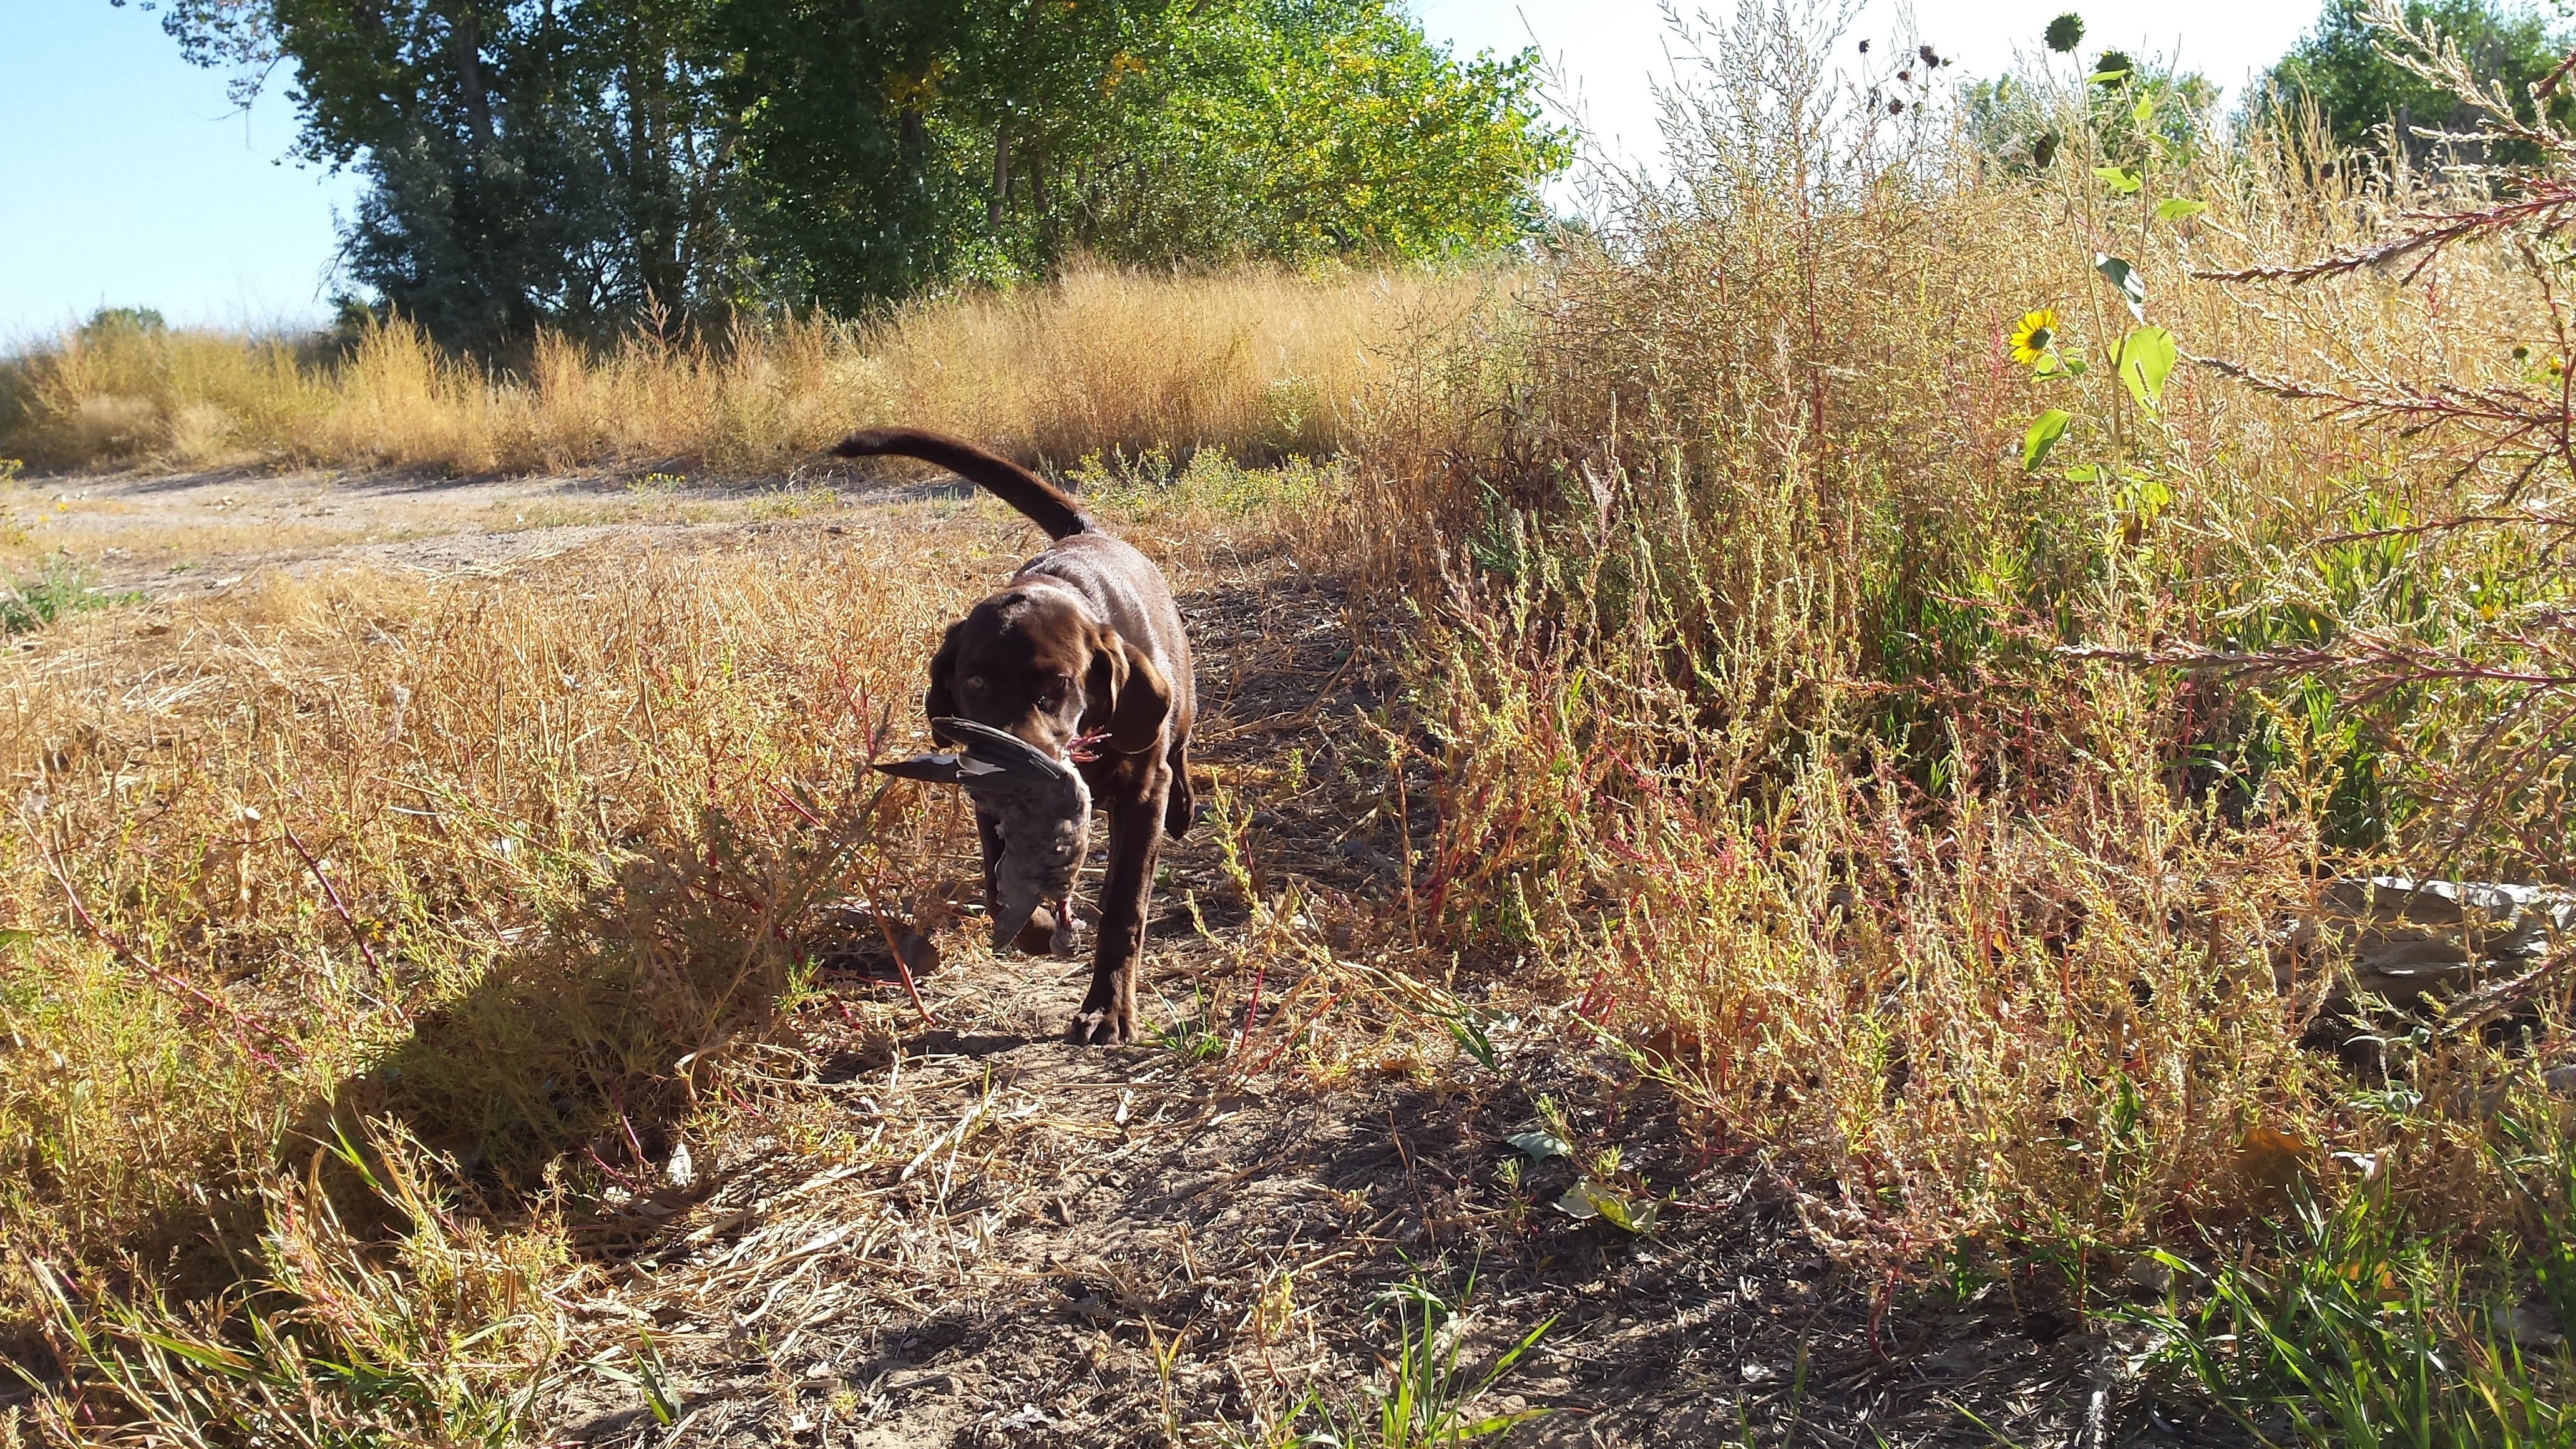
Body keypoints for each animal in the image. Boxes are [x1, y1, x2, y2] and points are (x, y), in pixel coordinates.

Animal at [833, 427, 1195, 1045]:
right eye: (974, 680)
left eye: (1058, 683)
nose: (1007, 762)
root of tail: (1089, 534)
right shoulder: (988, 810)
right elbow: (996, 883)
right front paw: (1035, 924)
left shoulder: (1146, 786)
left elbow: (1126, 907)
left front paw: (1108, 1007)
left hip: (1179, 710)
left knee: (1182, 752)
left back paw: (1184, 810)